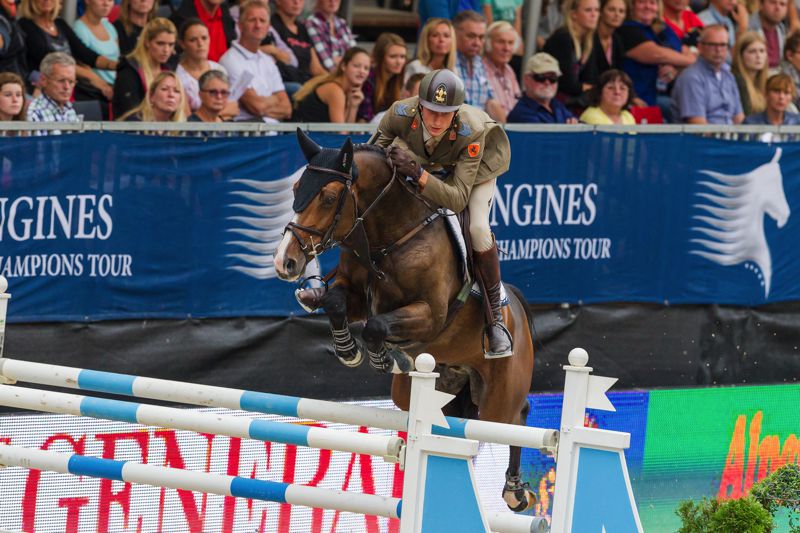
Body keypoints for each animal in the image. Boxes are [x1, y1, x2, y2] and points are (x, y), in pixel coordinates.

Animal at [276, 130, 536, 512]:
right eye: (296, 188)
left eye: (328, 198)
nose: (285, 262)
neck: (390, 236)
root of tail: (516, 308)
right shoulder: (354, 294)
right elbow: (338, 304)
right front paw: (350, 351)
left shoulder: (430, 314)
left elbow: (376, 326)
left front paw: (386, 356)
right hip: (429, 394)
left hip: (499, 398)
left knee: (517, 418)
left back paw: (515, 490)